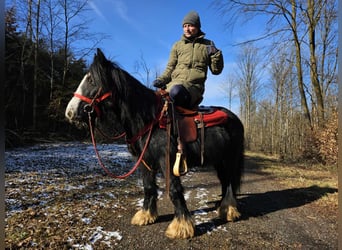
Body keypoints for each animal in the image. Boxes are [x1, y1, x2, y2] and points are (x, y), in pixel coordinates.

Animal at [65, 48, 244, 238]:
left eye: (91, 79)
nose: (70, 112)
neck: (149, 119)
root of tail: (235, 118)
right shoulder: (145, 161)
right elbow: (148, 187)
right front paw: (146, 216)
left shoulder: (167, 161)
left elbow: (174, 190)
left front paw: (181, 227)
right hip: (219, 161)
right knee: (224, 181)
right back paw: (223, 207)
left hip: (230, 160)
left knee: (229, 182)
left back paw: (229, 210)